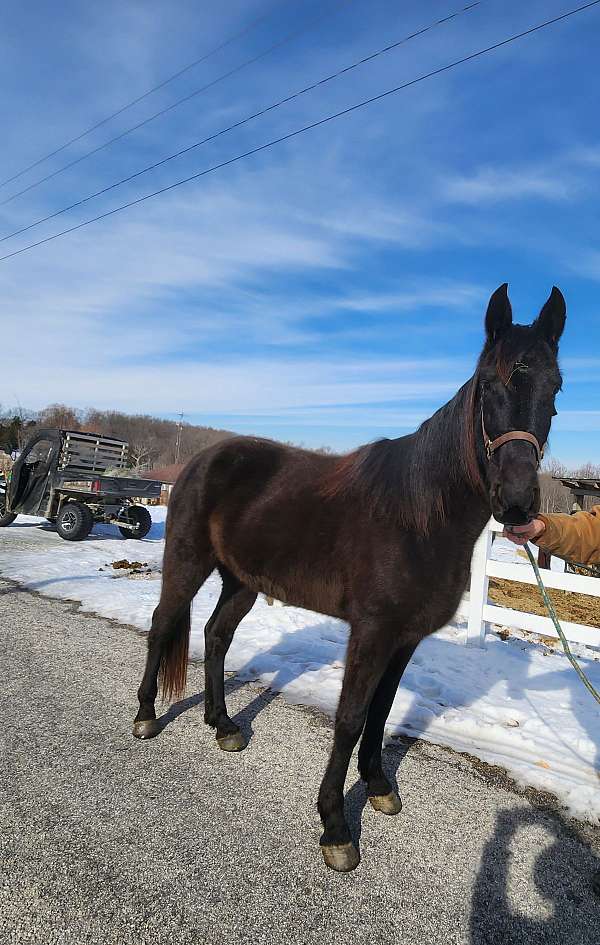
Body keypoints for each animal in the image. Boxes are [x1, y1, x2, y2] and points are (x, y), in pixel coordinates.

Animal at [132, 286, 568, 872]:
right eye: (490, 384)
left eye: (555, 387)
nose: (518, 503)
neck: (419, 517)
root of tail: (203, 458)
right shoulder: (372, 631)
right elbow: (350, 717)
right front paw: (335, 827)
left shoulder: (405, 637)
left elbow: (381, 711)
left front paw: (379, 785)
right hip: (187, 562)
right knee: (163, 625)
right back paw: (147, 715)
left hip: (242, 581)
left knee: (216, 636)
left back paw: (223, 726)